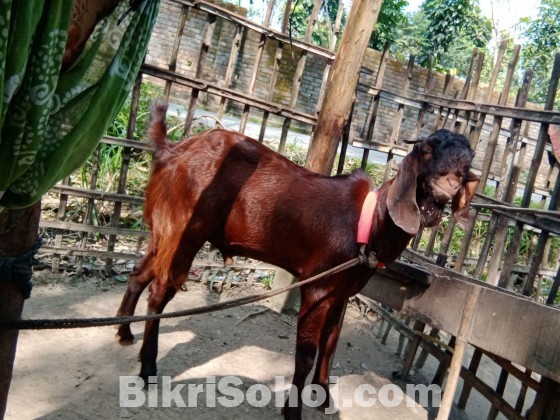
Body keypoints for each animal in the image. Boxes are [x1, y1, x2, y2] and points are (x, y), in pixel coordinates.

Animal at [116, 101, 480, 416]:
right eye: (427, 150)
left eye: (466, 164)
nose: (449, 183)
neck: (370, 225)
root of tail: (172, 151)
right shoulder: (318, 286)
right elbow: (306, 352)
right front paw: (293, 411)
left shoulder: (342, 293)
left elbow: (330, 343)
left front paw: (326, 399)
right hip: (185, 228)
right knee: (161, 289)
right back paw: (148, 368)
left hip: (165, 228)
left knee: (140, 272)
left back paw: (124, 332)